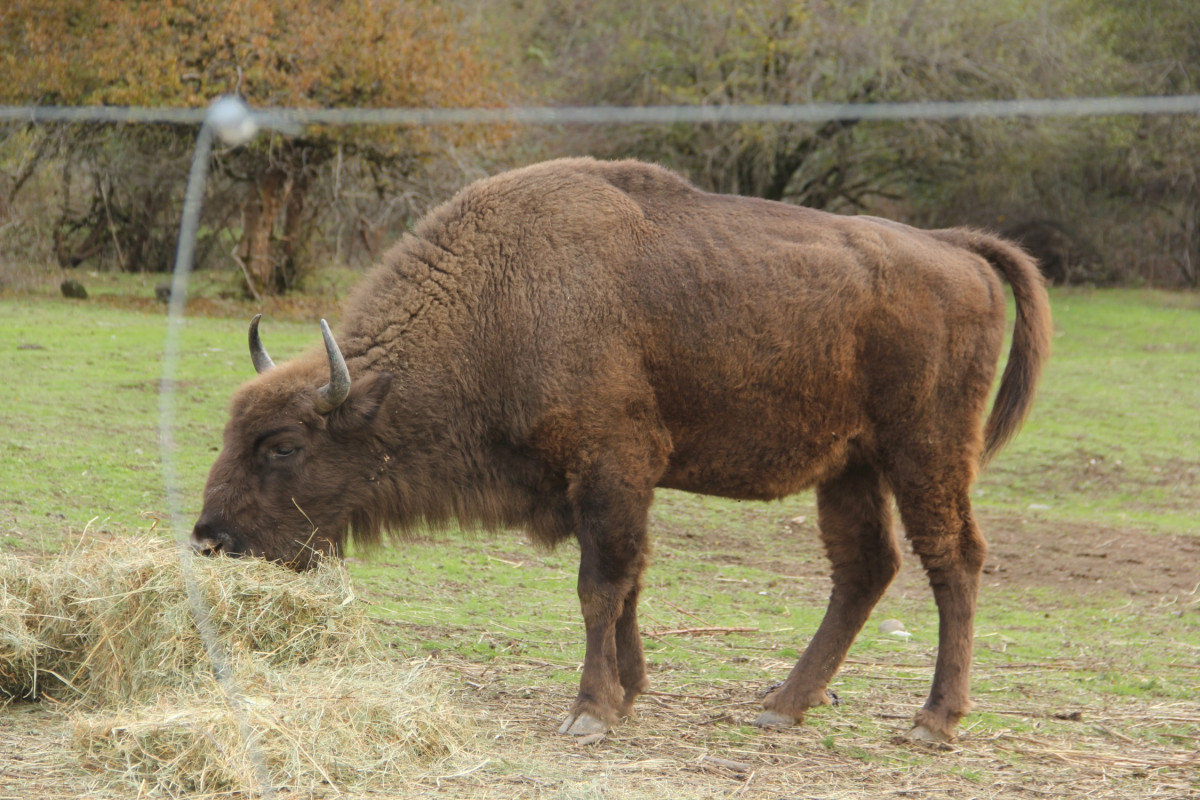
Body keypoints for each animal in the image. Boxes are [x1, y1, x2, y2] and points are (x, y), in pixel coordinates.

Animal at [192, 157, 1051, 743]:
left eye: (282, 446)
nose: (210, 538)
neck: (504, 297)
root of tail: (956, 249)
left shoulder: (611, 468)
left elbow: (599, 586)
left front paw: (591, 711)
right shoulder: (604, 486)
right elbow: (628, 583)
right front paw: (630, 692)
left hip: (926, 453)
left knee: (954, 560)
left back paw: (933, 720)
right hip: (850, 468)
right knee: (865, 568)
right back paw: (781, 705)